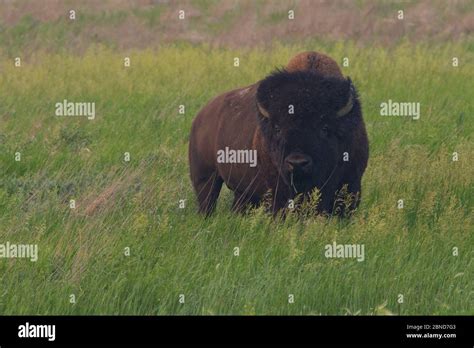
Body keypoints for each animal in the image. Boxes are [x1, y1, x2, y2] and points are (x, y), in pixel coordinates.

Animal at [190, 51, 370, 218]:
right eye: (278, 128)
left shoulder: (351, 183)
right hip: (205, 178)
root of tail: (200, 117)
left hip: (241, 192)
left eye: (325, 128)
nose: (297, 162)